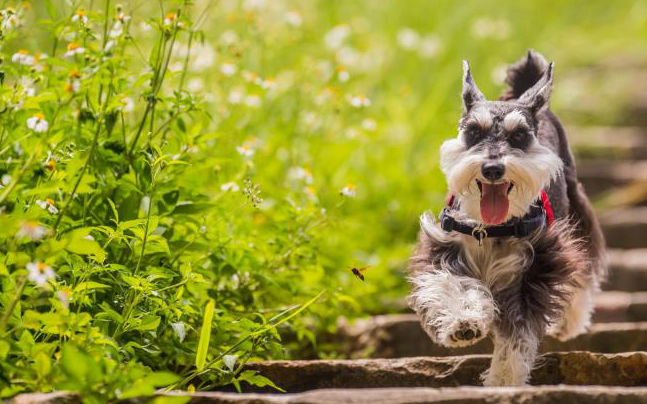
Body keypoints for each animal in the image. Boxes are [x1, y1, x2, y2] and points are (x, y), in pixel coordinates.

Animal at [410, 50, 608, 386]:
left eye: (519, 135)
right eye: (473, 131)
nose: (492, 169)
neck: (490, 228)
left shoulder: (535, 269)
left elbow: (518, 334)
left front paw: (504, 380)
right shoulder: (444, 249)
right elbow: (453, 285)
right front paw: (463, 322)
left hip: (577, 210)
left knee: (584, 266)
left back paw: (569, 323)